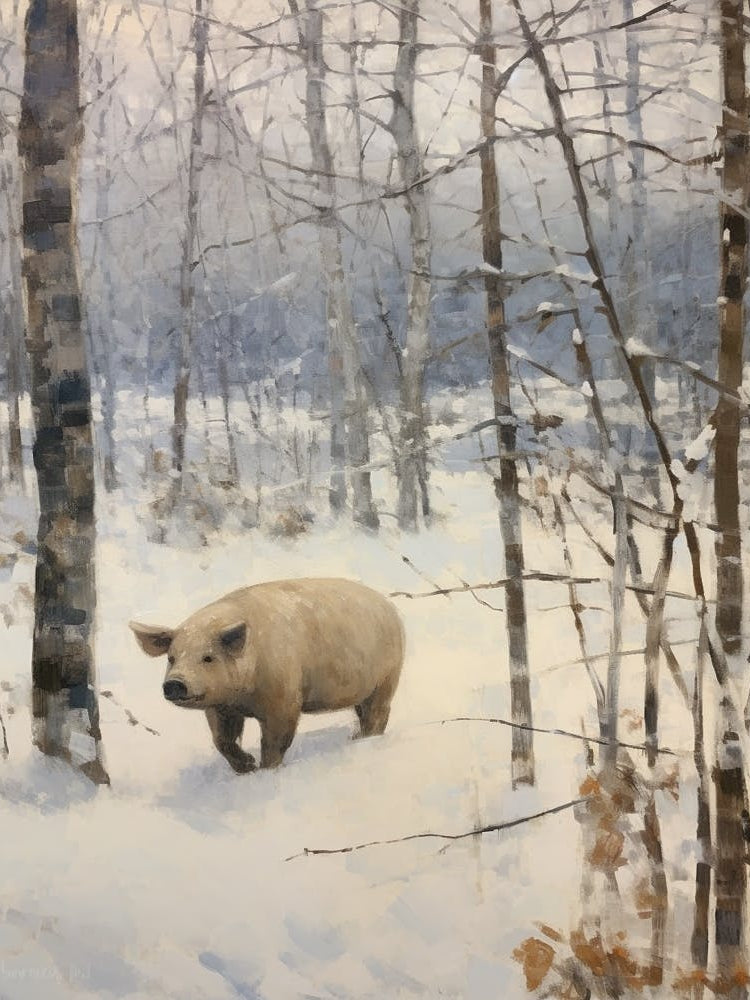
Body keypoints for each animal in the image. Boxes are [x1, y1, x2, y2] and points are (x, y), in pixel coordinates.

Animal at [129, 577, 404, 774]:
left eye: (208, 657)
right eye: (171, 658)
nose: (174, 683)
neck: (242, 698)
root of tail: (389, 607)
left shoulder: (284, 697)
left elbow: (275, 738)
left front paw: (265, 770)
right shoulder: (220, 708)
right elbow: (221, 740)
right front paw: (247, 768)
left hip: (387, 676)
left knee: (379, 711)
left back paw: (363, 740)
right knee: (363, 711)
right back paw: (355, 736)